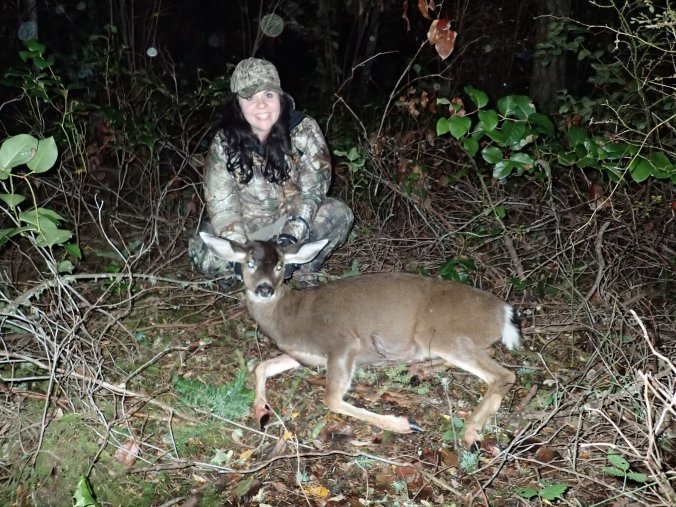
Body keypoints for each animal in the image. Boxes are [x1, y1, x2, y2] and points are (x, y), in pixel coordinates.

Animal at [199, 232, 521, 448]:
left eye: (280, 265)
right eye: (249, 262)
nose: (265, 289)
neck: (287, 318)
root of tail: (504, 312)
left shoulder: (342, 343)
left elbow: (331, 398)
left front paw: (405, 424)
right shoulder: (302, 355)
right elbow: (261, 367)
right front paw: (261, 412)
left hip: (441, 333)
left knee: (505, 374)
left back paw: (470, 433)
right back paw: (419, 372)